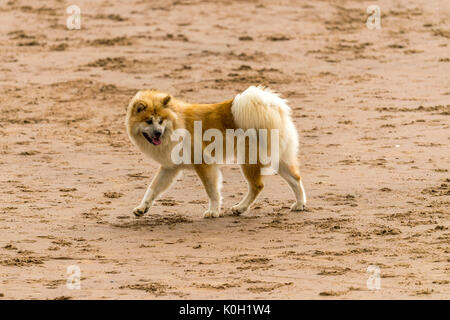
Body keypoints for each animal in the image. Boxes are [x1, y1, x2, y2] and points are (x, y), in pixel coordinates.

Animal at [125, 86, 306, 219]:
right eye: (149, 121)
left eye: (161, 121)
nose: (157, 133)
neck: (177, 124)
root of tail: (271, 108)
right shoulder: (170, 168)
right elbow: (152, 188)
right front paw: (141, 208)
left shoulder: (203, 164)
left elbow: (211, 190)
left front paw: (213, 211)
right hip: (278, 159)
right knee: (295, 178)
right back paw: (300, 204)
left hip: (248, 160)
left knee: (257, 186)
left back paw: (240, 208)